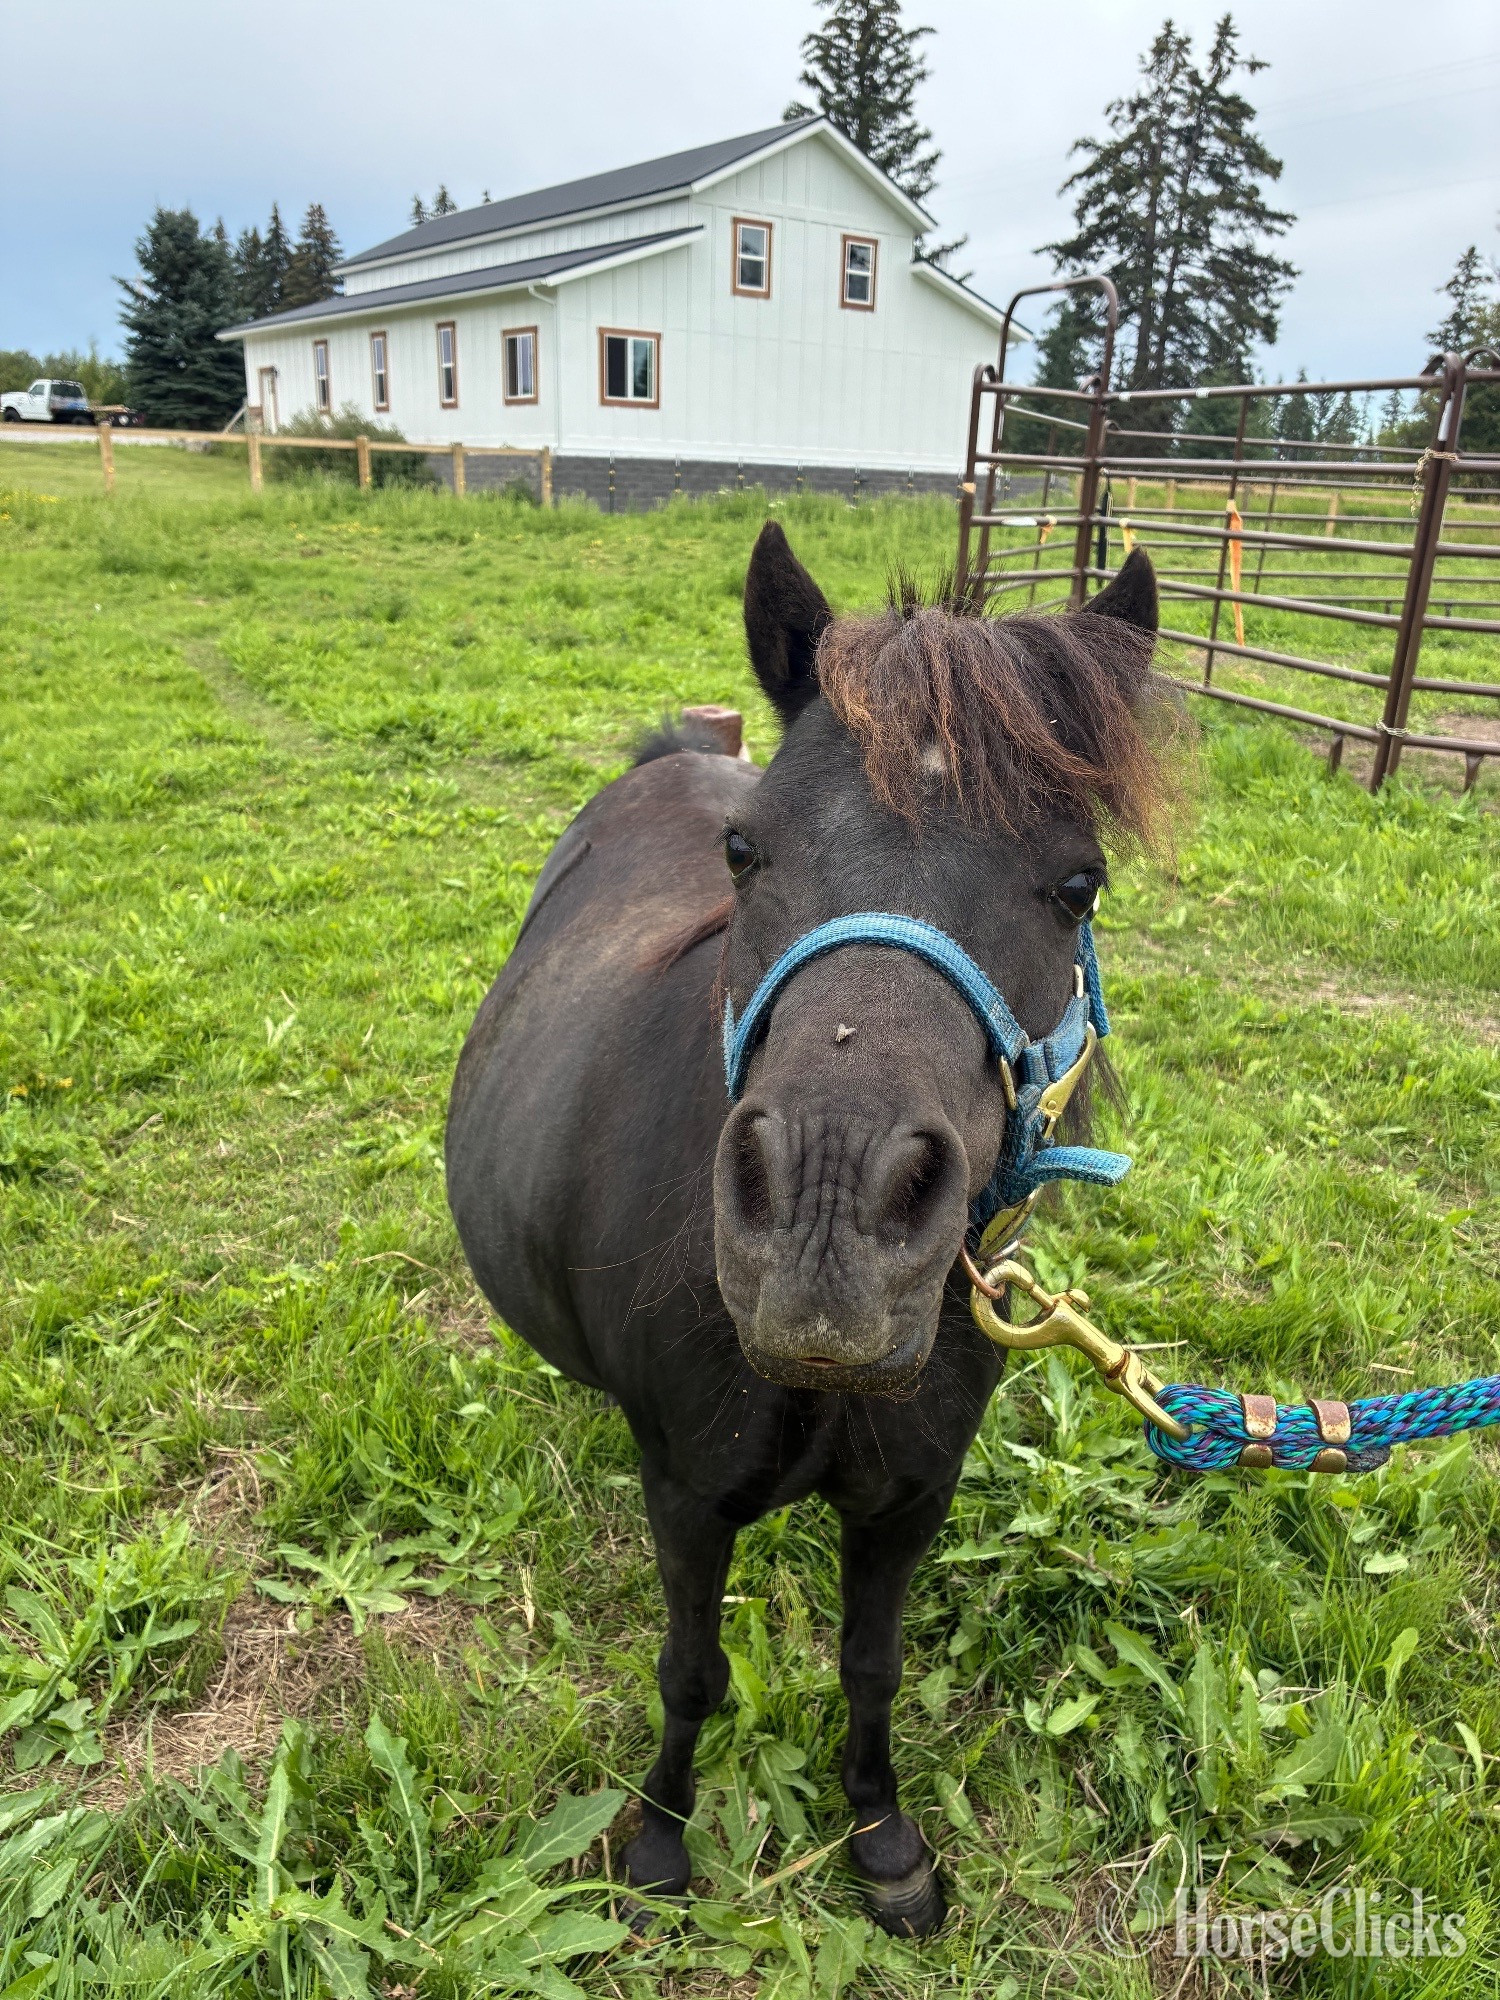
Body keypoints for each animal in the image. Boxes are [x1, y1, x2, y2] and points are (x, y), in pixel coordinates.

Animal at [445, 523, 1167, 1933]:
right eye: (746, 853)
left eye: (1079, 881)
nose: (831, 1219)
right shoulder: (686, 1490)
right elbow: (689, 1670)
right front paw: (659, 1844)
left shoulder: (912, 1498)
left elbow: (869, 1666)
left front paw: (882, 1840)